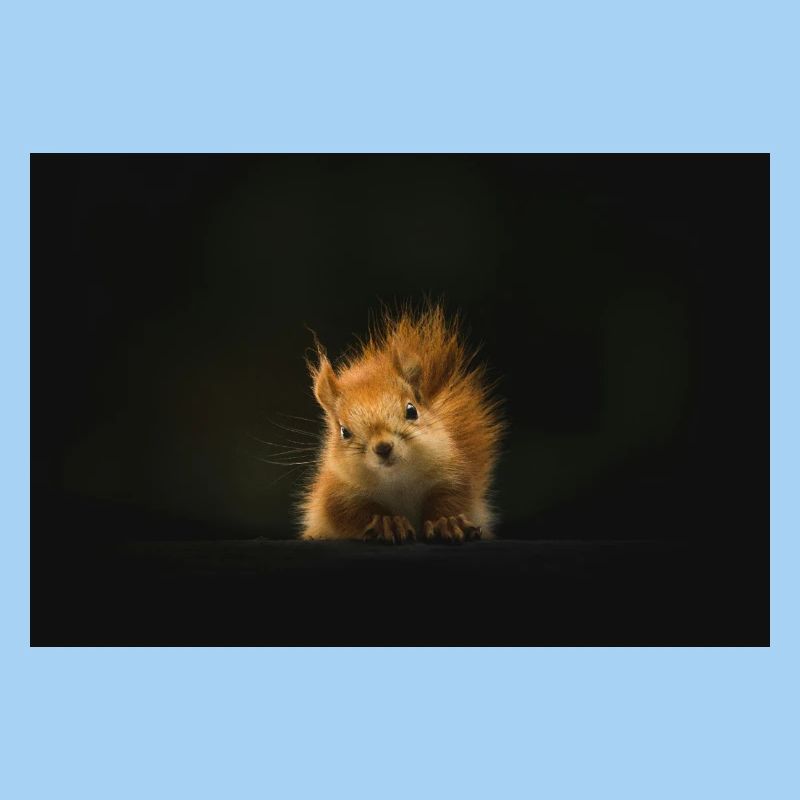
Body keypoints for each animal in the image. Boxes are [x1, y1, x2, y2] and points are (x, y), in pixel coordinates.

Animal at [299, 304, 504, 544]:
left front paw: (447, 522)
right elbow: (351, 513)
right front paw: (387, 523)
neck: (397, 480)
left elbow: (452, 499)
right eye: (344, 432)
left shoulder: (452, 475)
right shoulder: (337, 493)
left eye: (412, 411)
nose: (383, 447)